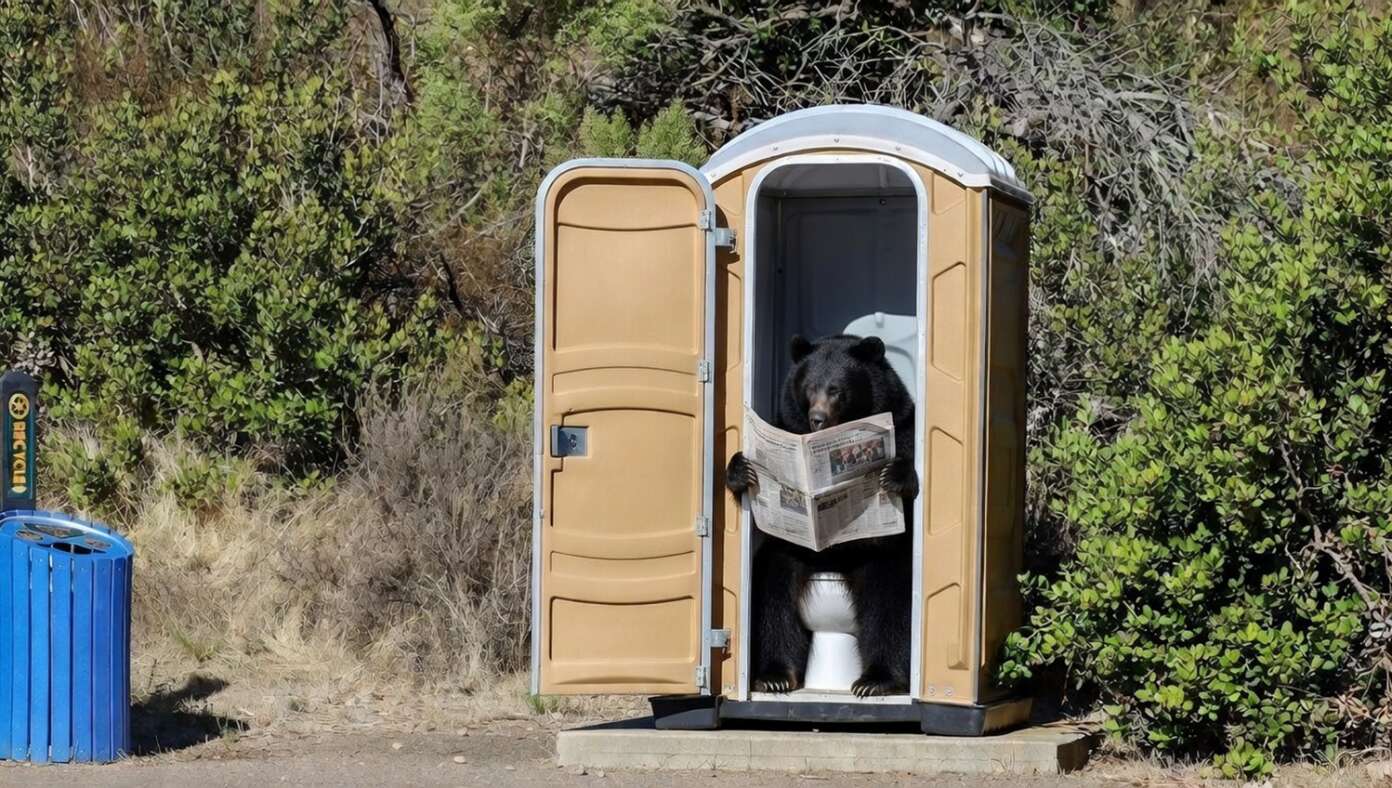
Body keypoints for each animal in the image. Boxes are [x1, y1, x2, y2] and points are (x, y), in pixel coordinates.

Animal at [726, 333, 918, 697]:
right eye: (809, 387)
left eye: (836, 389)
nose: (817, 418)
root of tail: (834, 567)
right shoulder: (786, 426)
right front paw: (742, 469)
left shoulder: (901, 427)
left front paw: (893, 475)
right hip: (792, 557)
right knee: (772, 595)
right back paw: (774, 674)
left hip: (880, 558)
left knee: (890, 599)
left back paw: (877, 679)